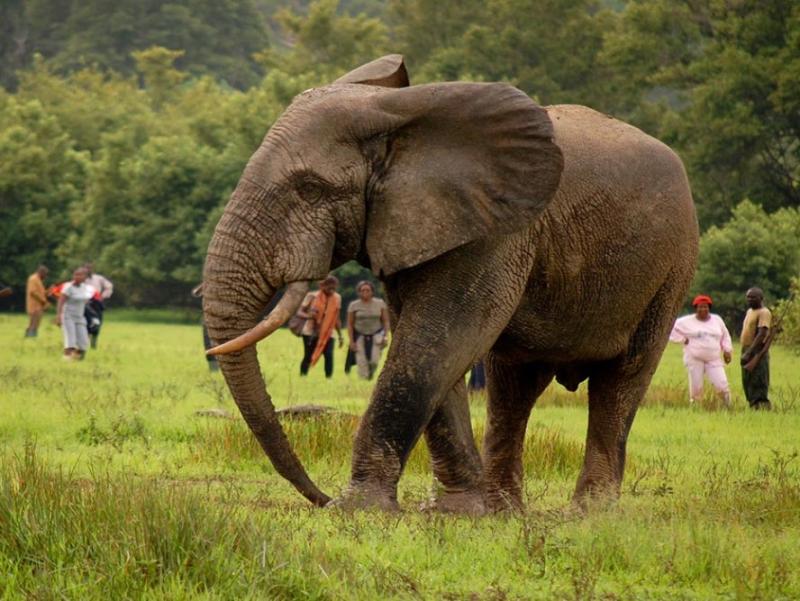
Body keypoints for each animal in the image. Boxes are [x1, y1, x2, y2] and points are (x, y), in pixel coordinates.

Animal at [203, 55, 696, 510]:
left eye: (309, 188)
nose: (321, 498)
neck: (396, 118)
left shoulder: (497, 231)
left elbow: (437, 339)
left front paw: (360, 510)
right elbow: (432, 345)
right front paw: (457, 514)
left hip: (671, 269)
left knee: (621, 381)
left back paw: (588, 516)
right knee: (514, 384)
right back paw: (504, 511)